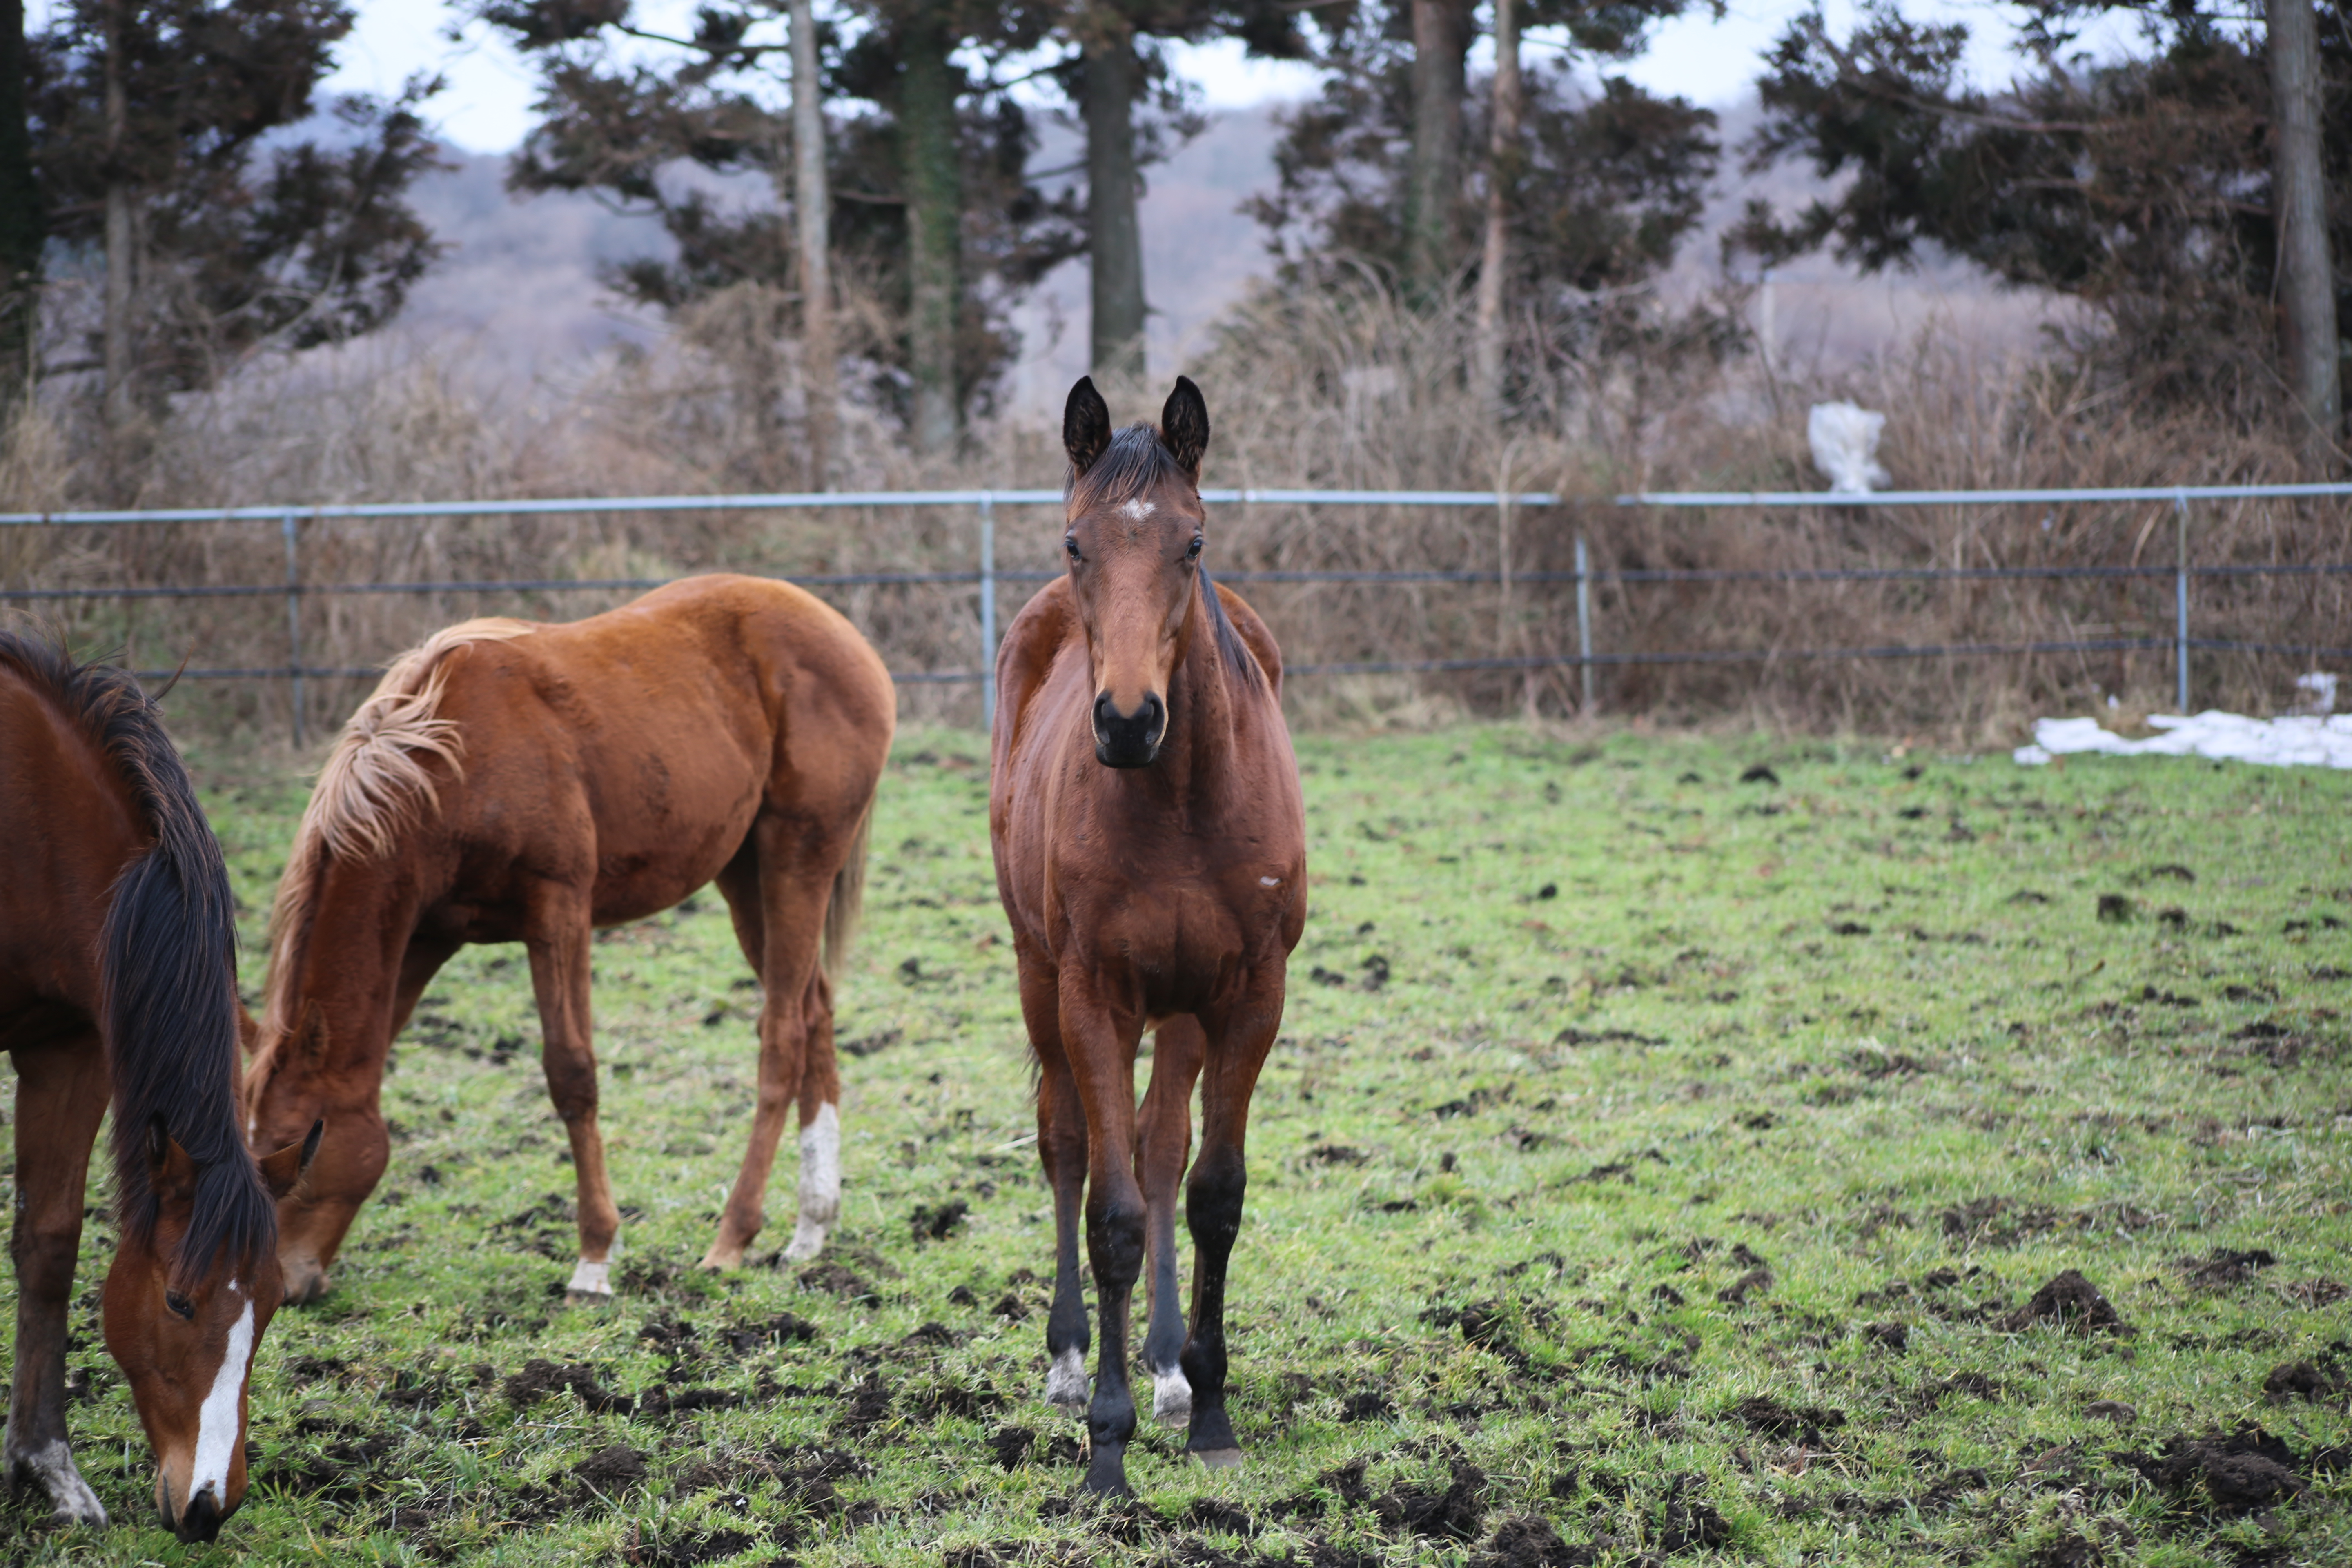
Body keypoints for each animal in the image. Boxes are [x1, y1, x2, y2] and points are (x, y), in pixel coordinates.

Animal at [0, 630, 320, 1542]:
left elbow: (48, 1246)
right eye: (179, 1303)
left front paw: (46, 1467)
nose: (210, 1506)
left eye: (272, 1306)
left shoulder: (68, 1049)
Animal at [245, 573, 889, 1297]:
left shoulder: (559, 911)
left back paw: (733, 1237)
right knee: (814, 1011)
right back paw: (811, 1228)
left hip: (797, 857)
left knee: (782, 1035)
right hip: (745, 875)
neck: (450, 764)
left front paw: (595, 1260)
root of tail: (838, 630)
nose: (282, 1286)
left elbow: (572, 1075)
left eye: (305, 1144)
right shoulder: (424, 935)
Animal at [983, 376, 1307, 1495]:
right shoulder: (1094, 996)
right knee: (1070, 1144)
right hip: (1041, 981)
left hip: (1183, 1013)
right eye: (1076, 542)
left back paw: (1168, 1368)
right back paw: (1072, 1362)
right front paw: (1106, 1447)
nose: (1127, 722)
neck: (1178, 806)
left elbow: (1210, 1193)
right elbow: (1111, 1213)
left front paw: (1207, 1407)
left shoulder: (1248, 997)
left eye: (1192, 542)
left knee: (1162, 1150)